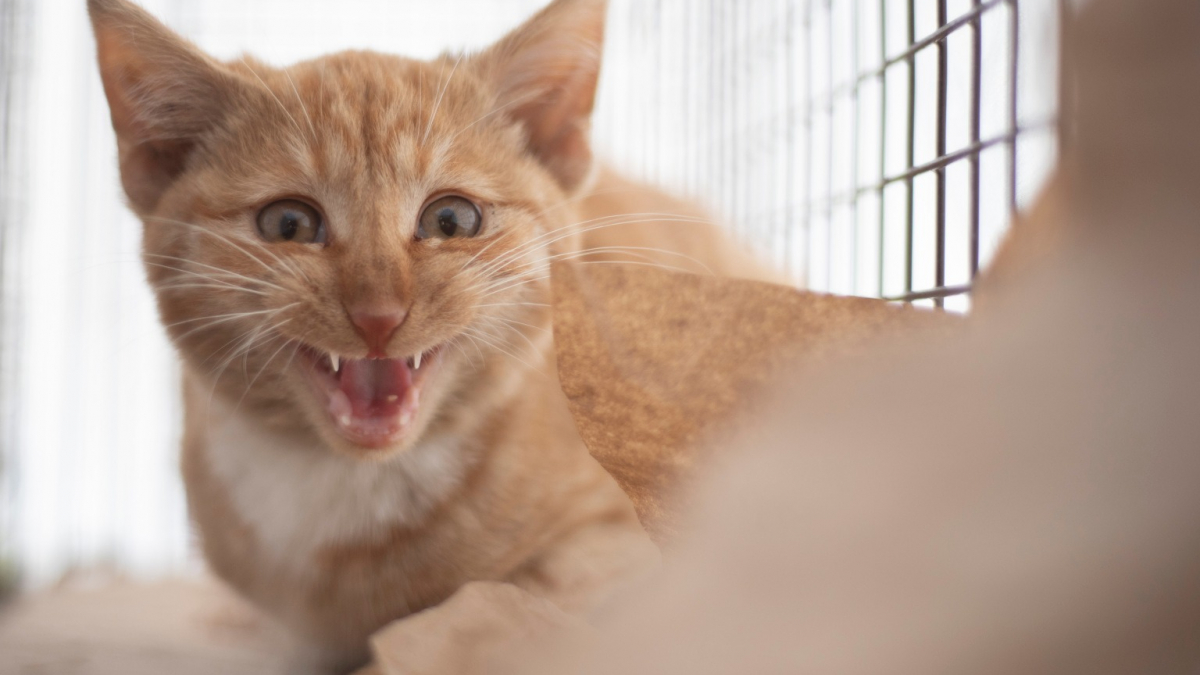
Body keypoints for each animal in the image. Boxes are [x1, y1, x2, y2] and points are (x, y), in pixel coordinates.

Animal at [91, 0, 768, 662]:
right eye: (288, 224)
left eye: (451, 219)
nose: (379, 314)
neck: (341, 480)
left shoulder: (643, 545)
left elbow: (492, 607)